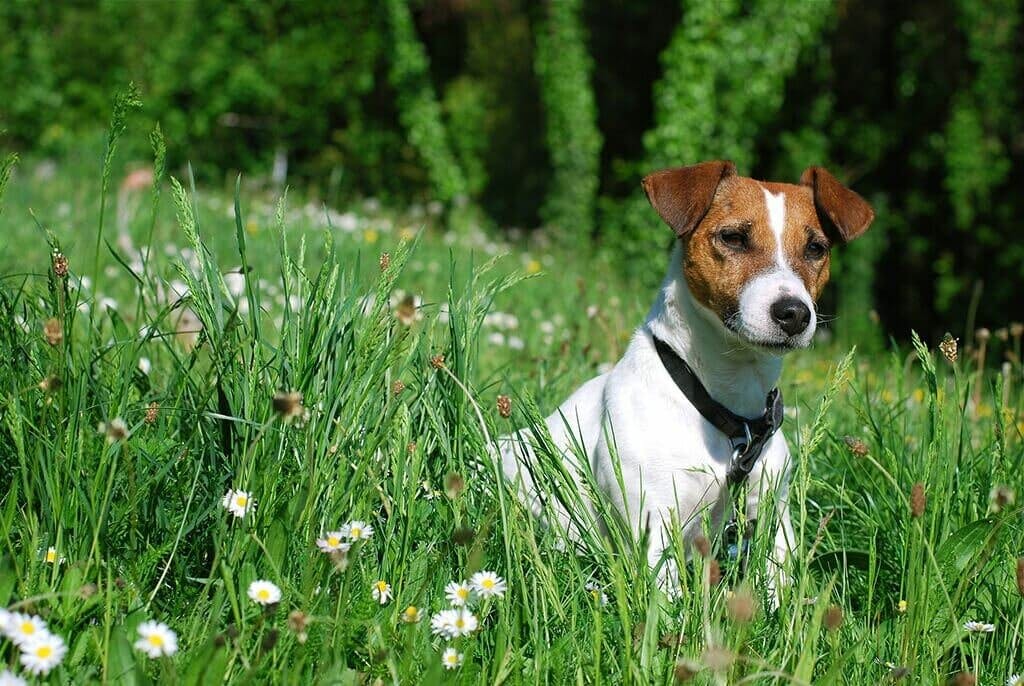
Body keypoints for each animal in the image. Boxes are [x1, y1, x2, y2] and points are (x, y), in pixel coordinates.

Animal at [495, 162, 872, 597]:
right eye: (733, 237)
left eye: (816, 249)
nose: (794, 313)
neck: (724, 410)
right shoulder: (654, 524)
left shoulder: (771, 515)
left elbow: (779, 584)